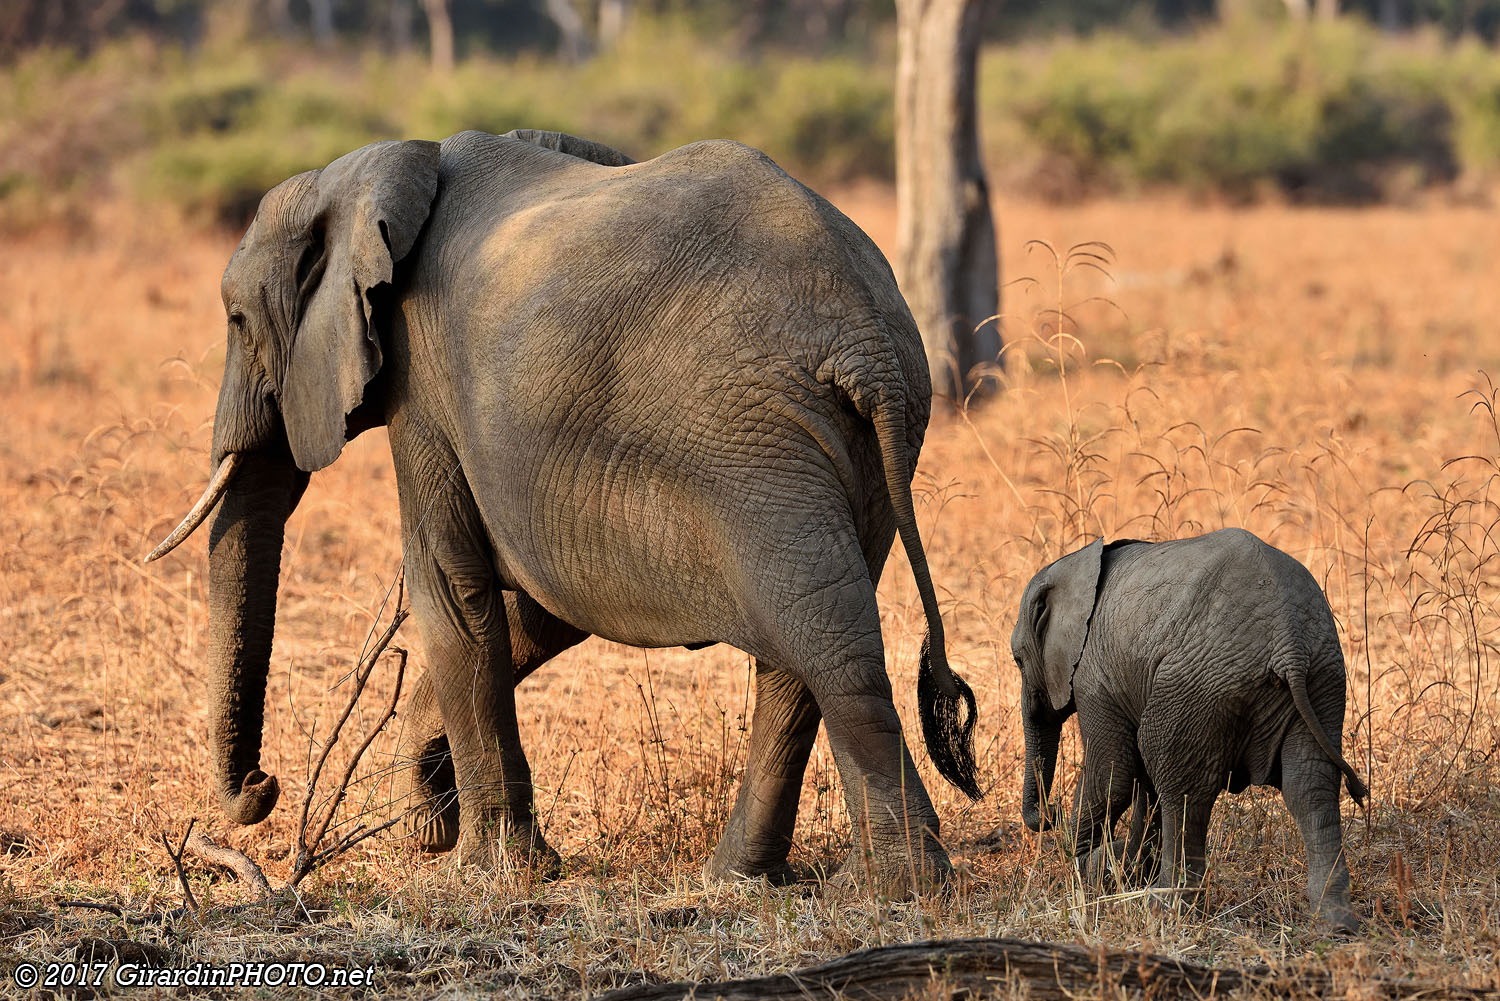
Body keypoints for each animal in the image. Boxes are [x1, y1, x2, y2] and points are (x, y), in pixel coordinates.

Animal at [143, 131, 984, 894]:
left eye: (237, 322)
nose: (262, 787)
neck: (382, 169)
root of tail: (869, 338)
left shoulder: (423, 384)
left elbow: (452, 591)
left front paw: (487, 872)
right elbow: (540, 607)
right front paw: (429, 816)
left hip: (759, 446)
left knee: (827, 644)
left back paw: (893, 886)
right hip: (841, 453)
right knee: (800, 647)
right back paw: (739, 879)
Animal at [1008, 528, 1374, 930]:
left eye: (1018, 660)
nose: (1052, 811)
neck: (1073, 565)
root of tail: (1289, 642)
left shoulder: (1094, 676)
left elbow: (1113, 777)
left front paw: (1090, 873)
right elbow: (1139, 782)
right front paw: (1120, 868)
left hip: (1197, 684)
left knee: (1179, 784)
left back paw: (1164, 908)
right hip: (1323, 679)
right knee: (1309, 788)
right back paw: (1336, 924)